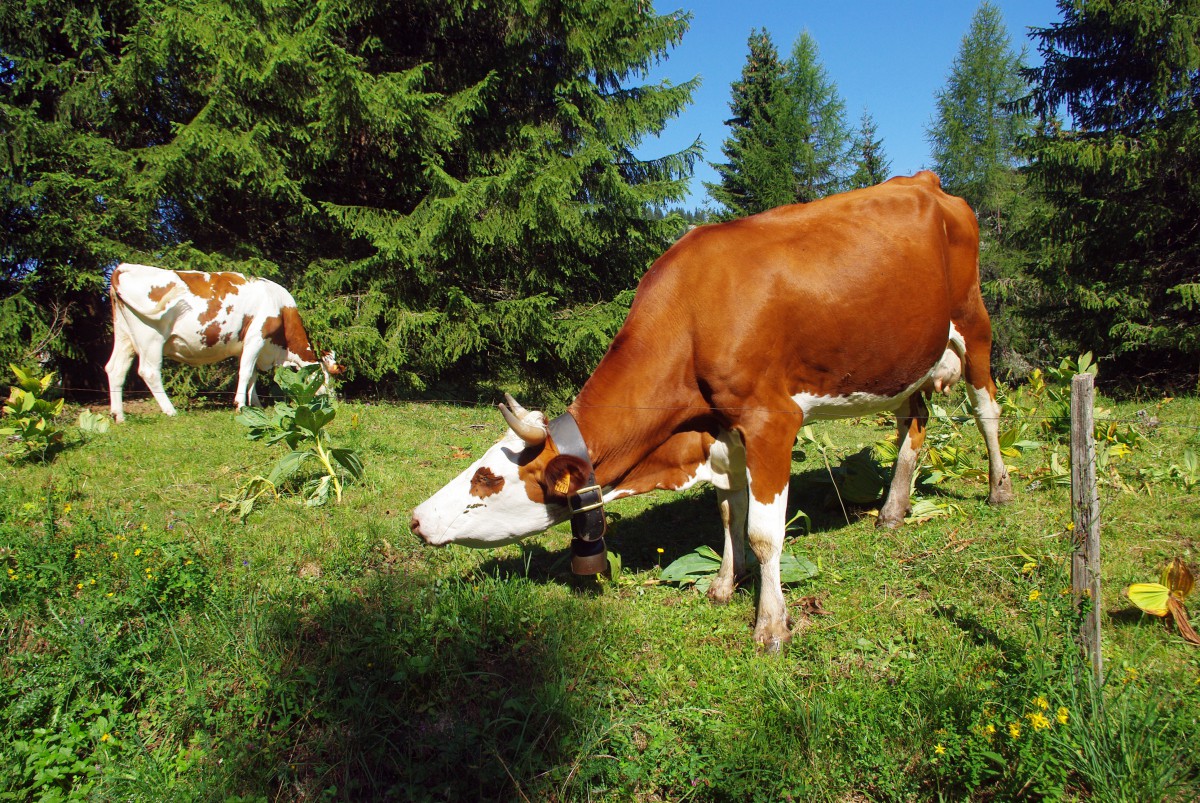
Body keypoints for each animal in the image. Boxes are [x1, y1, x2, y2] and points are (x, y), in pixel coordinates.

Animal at [104, 264, 343, 424]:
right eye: (324, 377)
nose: (334, 400)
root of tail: (124, 267)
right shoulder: (256, 337)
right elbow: (245, 373)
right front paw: (240, 406)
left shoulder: (250, 347)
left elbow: (252, 376)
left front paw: (255, 405)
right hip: (150, 337)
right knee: (149, 371)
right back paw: (170, 411)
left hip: (125, 336)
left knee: (115, 369)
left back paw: (119, 416)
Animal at [410, 170, 1012, 652]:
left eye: (487, 479)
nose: (415, 519)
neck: (692, 316)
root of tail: (925, 180)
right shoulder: (723, 428)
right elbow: (728, 511)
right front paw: (725, 582)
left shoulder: (772, 422)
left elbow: (765, 531)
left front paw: (771, 624)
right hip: (907, 359)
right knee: (914, 421)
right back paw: (892, 510)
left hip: (975, 324)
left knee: (986, 409)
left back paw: (999, 489)